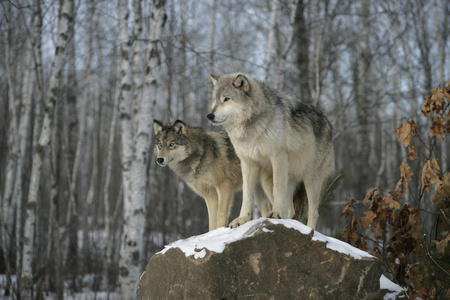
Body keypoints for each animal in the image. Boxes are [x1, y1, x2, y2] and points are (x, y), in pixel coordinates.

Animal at [207, 73, 334, 230]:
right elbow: (247, 195)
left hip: (311, 180)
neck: (251, 127)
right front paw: (242, 219)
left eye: (226, 98)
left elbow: (277, 190)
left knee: (313, 212)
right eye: (215, 100)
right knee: (291, 209)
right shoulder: (247, 162)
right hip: (269, 177)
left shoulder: (277, 157)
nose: (209, 116)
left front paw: (276, 213)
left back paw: (309, 229)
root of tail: (328, 123)